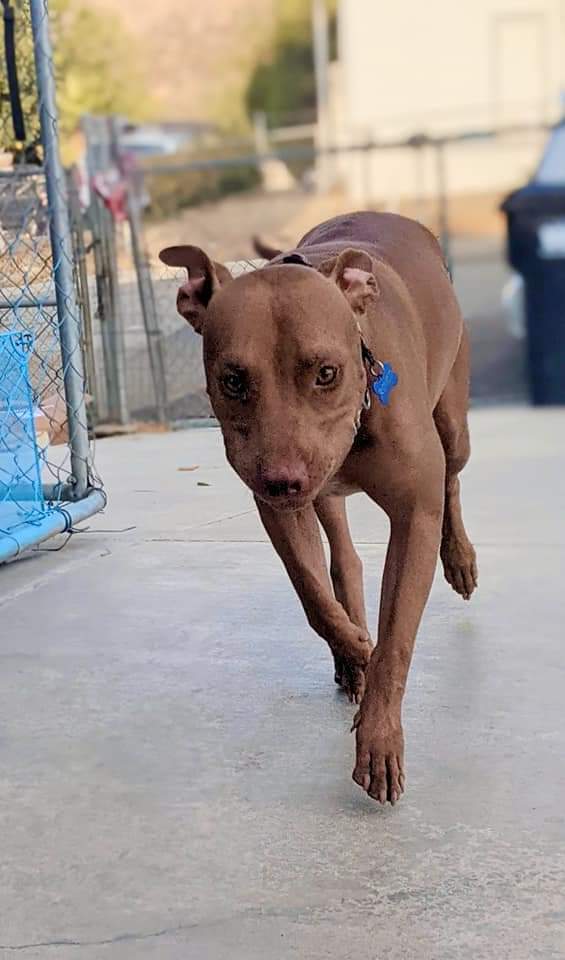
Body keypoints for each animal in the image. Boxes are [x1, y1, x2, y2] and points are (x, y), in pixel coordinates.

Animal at [160, 214, 476, 808]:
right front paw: (355, 650)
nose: (284, 479)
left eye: (326, 373)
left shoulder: (414, 514)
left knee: (452, 478)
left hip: (452, 426)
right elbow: (314, 595)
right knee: (343, 562)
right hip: (324, 495)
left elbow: (395, 642)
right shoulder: (281, 510)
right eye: (233, 380)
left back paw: (460, 559)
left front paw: (379, 737)